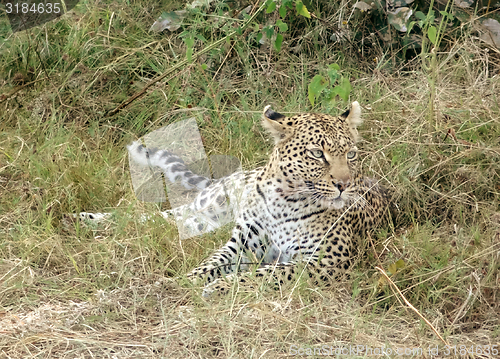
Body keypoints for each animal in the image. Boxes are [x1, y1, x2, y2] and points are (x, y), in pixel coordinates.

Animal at [76, 102, 388, 298]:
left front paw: (221, 287)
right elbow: (211, 263)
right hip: (209, 208)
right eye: (316, 154)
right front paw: (188, 280)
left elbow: (267, 275)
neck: (285, 202)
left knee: (163, 221)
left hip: (202, 220)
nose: (344, 185)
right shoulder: (242, 244)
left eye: (350, 154)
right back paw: (86, 220)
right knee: (156, 218)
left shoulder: (326, 263)